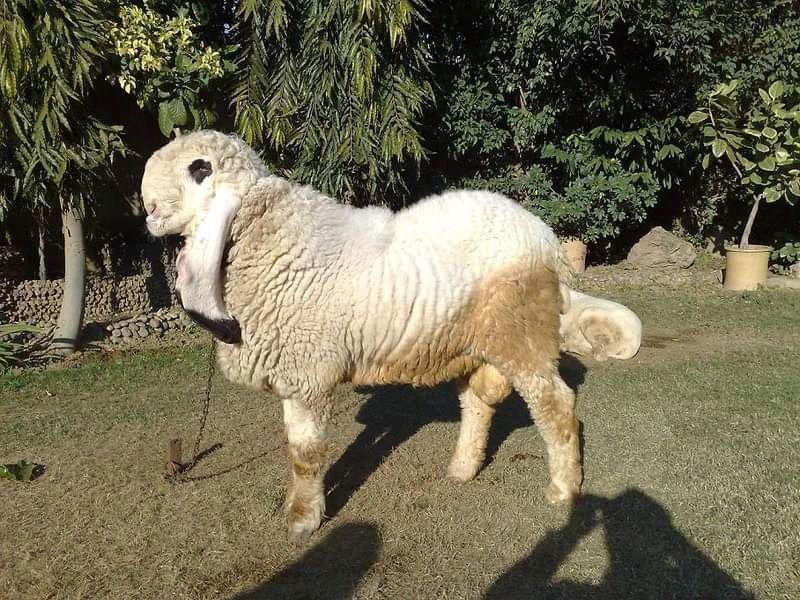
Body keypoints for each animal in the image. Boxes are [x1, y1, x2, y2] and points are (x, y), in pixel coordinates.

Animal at [141, 130, 583, 542]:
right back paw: (463, 468)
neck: (270, 240)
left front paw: (303, 520)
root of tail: (543, 235)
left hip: (522, 332)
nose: (149, 213)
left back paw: (564, 488)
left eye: (195, 170)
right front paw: (296, 507)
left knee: (554, 402)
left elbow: (305, 453)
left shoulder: (308, 375)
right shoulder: (293, 374)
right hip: (474, 341)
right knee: (477, 400)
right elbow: (294, 447)